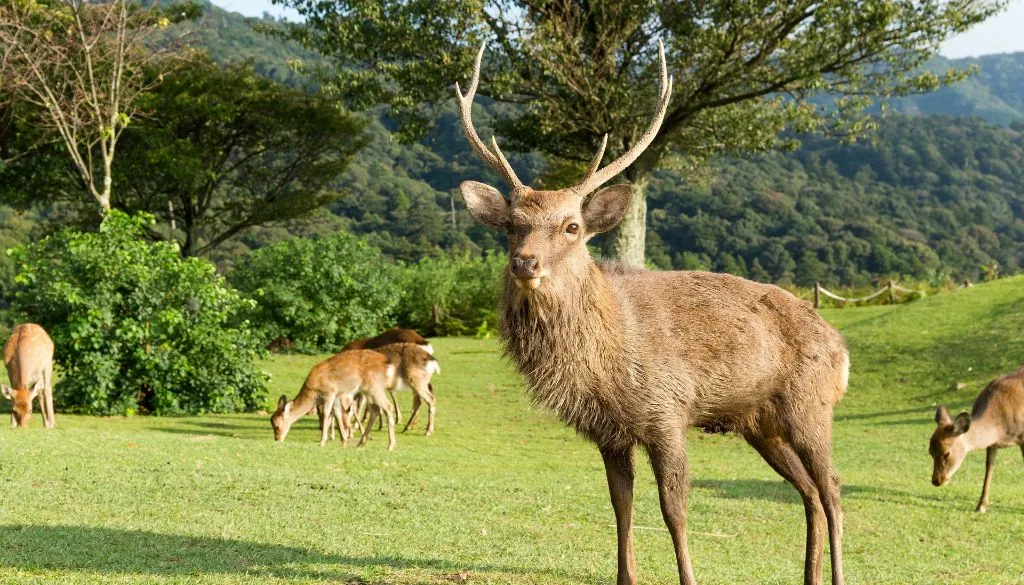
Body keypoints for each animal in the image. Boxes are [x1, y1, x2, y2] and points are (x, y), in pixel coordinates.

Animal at [454, 42, 847, 585]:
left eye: (572, 226)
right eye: (512, 225)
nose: (525, 262)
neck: (607, 363)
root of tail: (841, 347)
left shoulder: (667, 412)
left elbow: (673, 510)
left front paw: (688, 577)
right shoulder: (608, 432)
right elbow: (620, 505)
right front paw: (626, 576)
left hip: (811, 405)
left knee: (832, 488)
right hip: (761, 422)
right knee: (807, 490)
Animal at [929, 366, 1024, 512]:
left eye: (946, 453)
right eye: (930, 452)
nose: (936, 481)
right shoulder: (992, 444)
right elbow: (989, 468)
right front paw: (981, 506)